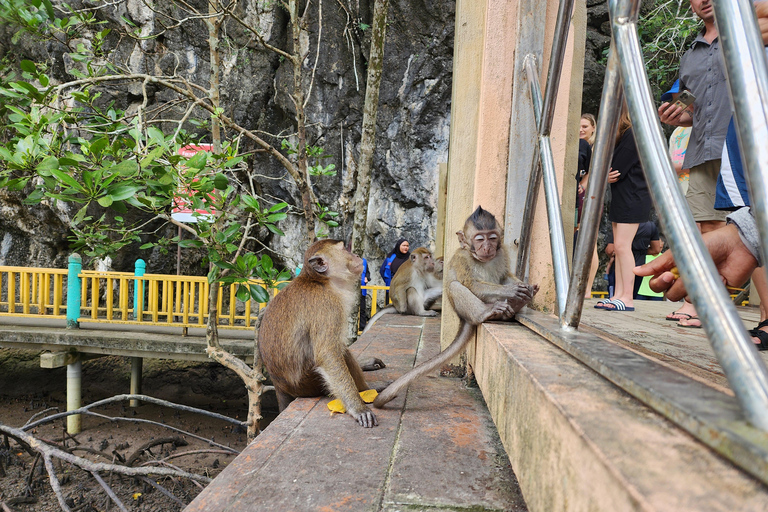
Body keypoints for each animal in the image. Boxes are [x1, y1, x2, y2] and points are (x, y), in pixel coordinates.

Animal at [258, 240, 378, 428]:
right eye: (345, 249)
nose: (358, 256)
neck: (320, 281)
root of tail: (279, 386)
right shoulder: (328, 305)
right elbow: (328, 355)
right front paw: (357, 407)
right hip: (308, 383)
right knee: (338, 352)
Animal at [374, 208, 540, 408]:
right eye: (479, 239)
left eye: (492, 238)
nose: (487, 248)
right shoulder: (463, 259)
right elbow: (471, 284)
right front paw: (512, 290)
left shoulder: (502, 254)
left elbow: (505, 275)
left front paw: (525, 288)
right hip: (464, 309)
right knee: (455, 286)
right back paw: (486, 313)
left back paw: (514, 306)